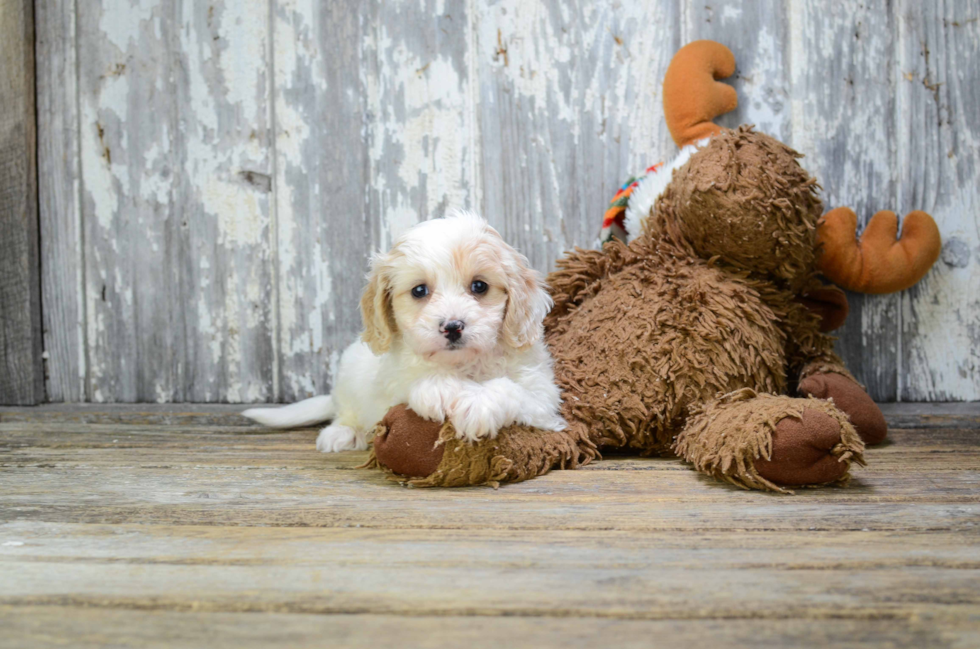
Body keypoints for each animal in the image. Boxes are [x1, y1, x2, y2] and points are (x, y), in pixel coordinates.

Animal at [244, 211, 564, 450]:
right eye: (419, 290)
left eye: (479, 286)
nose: (452, 327)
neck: (464, 365)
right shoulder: (391, 384)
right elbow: (415, 381)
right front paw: (441, 388)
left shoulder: (542, 397)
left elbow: (510, 389)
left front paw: (477, 403)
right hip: (348, 375)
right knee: (346, 410)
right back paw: (342, 433)